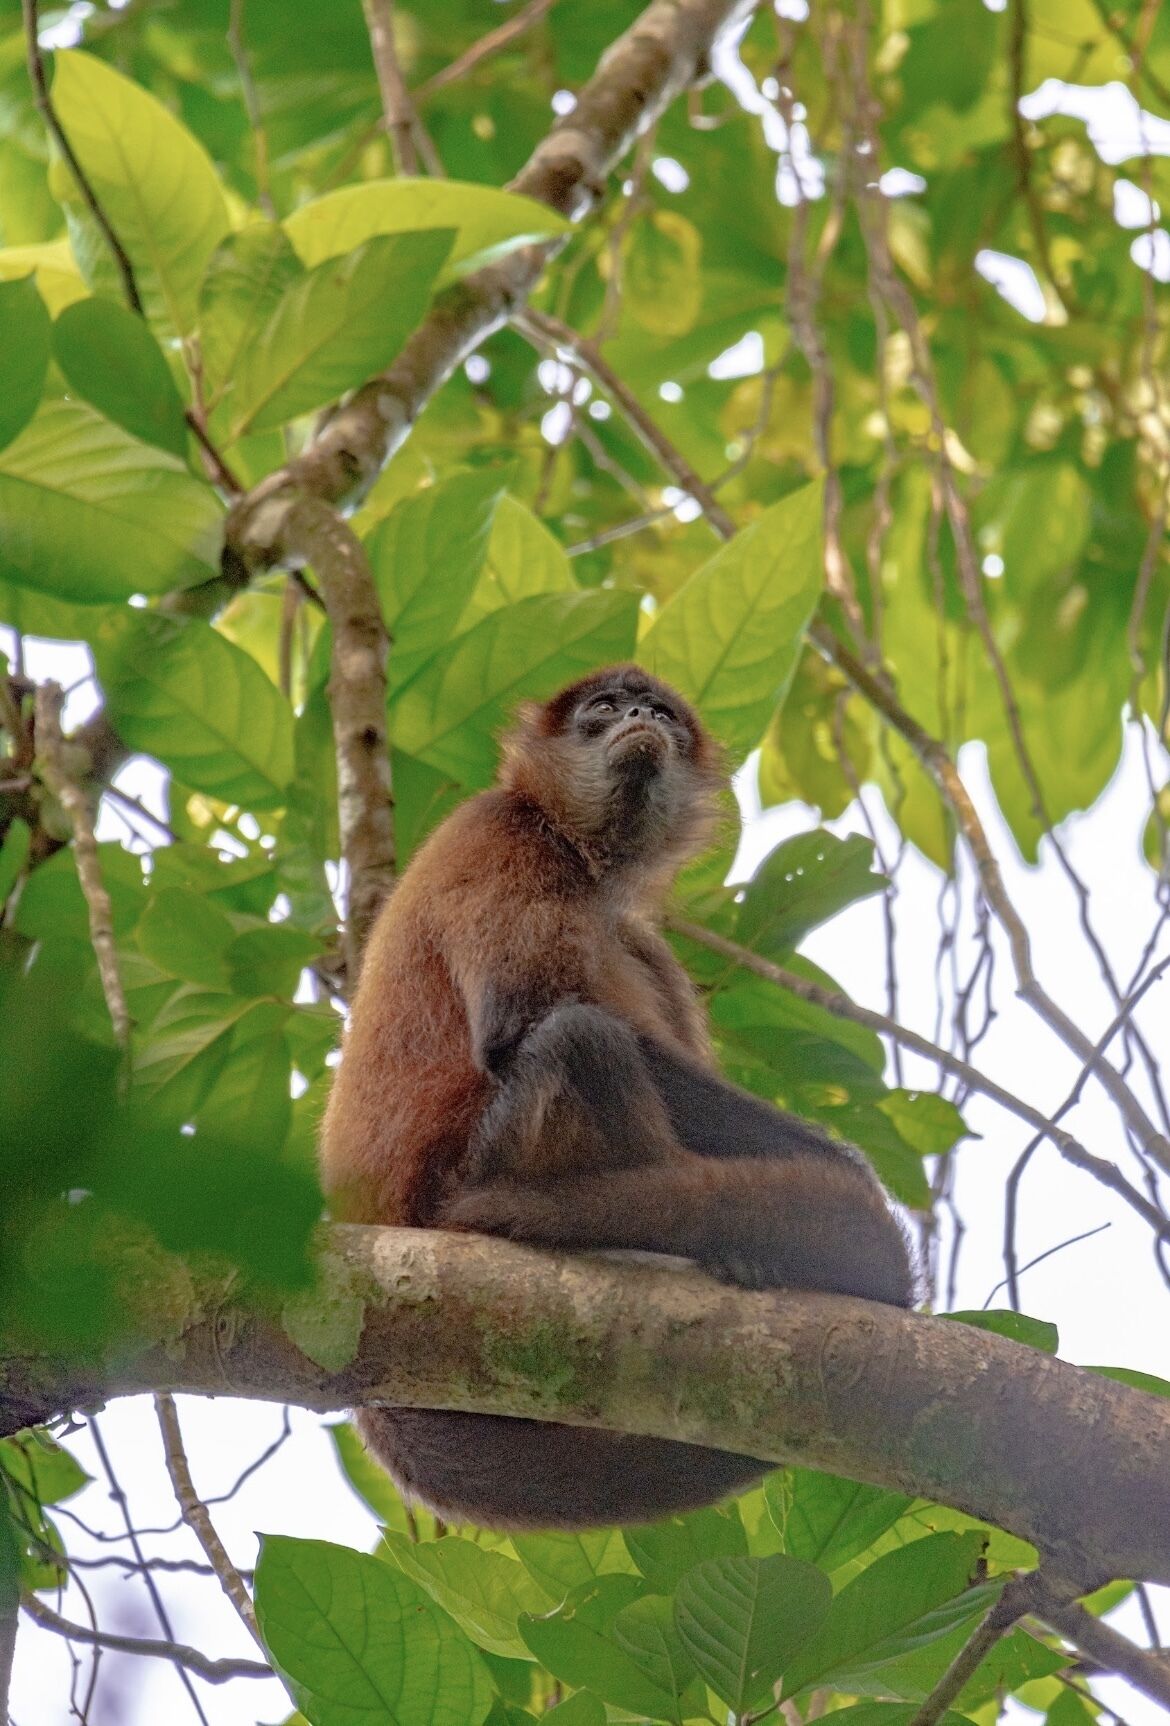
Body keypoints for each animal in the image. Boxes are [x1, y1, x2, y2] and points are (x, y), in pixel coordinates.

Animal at [320, 664, 913, 1530]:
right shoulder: (499, 831)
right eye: (605, 708)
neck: (579, 853)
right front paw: (842, 1168)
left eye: (657, 711)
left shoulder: (639, 932)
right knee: (580, 1037)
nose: (638, 715)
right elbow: (527, 1018)